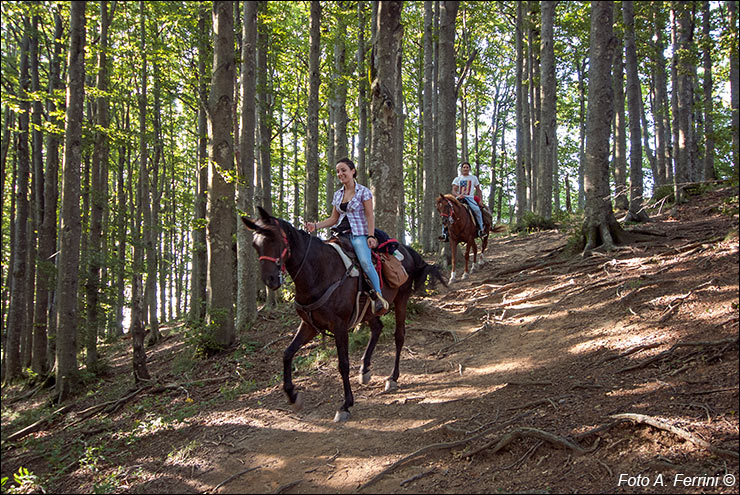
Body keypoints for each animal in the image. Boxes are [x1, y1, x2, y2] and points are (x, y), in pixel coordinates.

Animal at [243, 208, 446, 422]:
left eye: (274, 239)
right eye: (255, 245)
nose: (270, 280)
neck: (318, 272)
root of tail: (406, 250)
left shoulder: (339, 327)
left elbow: (343, 364)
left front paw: (345, 405)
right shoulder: (309, 325)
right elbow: (287, 353)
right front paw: (292, 395)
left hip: (401, 299)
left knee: (399, 336)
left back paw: (392, 378)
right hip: (369, 311)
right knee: (377, 328)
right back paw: (365, 369)